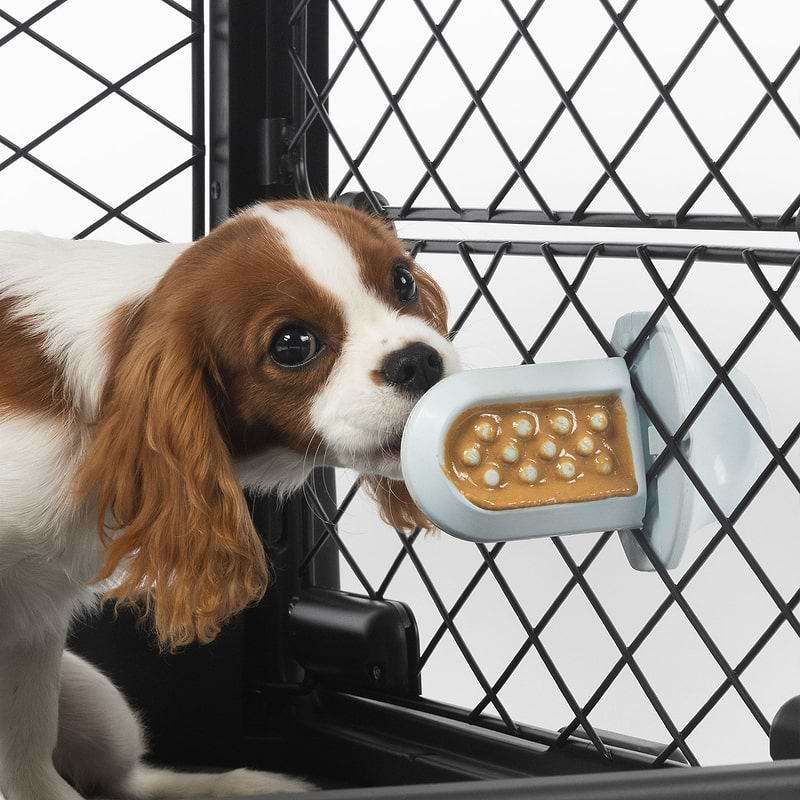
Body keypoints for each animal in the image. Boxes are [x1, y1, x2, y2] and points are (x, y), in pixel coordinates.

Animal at [0, 202, 460, 800]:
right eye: (292, 345)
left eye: (403, 281)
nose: (419, 361)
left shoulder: (34, 621)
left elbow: (28, 753)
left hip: (100, 707)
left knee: (130, 780)